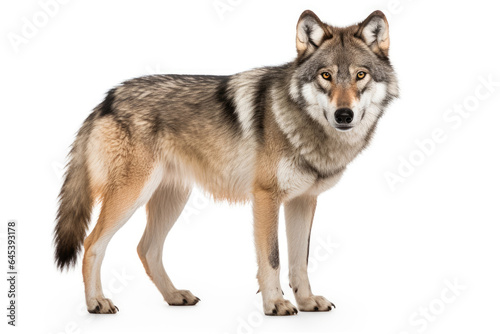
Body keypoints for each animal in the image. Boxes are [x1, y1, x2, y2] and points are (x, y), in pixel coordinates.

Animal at [54, 8, 398, 316]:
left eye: (360, 75)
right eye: (326, 75)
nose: (344, 115)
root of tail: (107, 99)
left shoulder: (303, 201)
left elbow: (300, 260)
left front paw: (307, 302)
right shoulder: (266, 198)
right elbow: (272, 258)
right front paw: (275, 304)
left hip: (173, 198)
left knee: (146, 249)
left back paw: (175, 296)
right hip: (131, 195)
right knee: (92, 243)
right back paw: (96, 303)